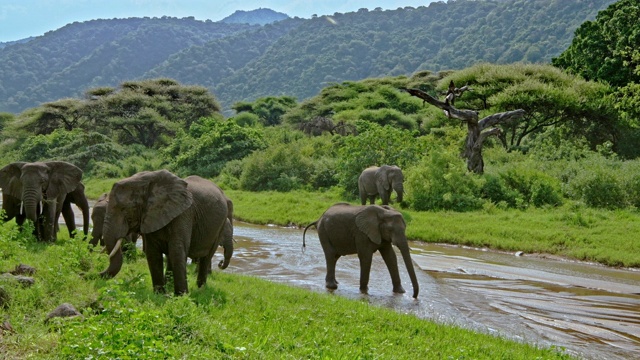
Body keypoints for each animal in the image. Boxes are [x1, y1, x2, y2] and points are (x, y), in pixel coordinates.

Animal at [102, 169, 235, 296]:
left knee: (206, 257)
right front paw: (160, 294)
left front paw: (181, 296)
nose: (98, 274)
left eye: (126, 209)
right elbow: (153, 252)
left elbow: (177, 250)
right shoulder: (150, 216)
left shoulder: (184, 214)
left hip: (220, 225)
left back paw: (201, 289)